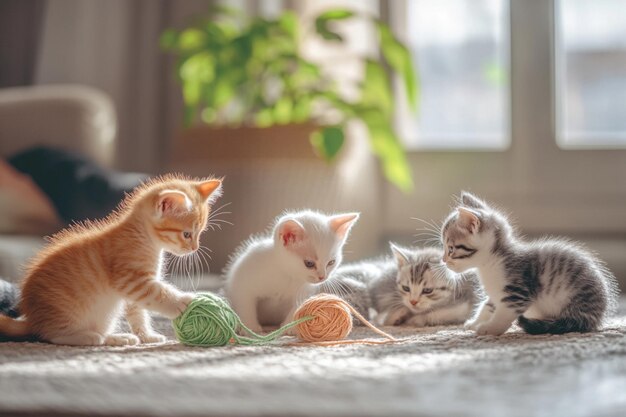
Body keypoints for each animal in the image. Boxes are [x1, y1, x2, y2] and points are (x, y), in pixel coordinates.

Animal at [0, 173, 222, 344]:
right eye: (187, 234)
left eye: (200, 232)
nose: (194, 248)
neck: (143, 237)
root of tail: (31, 320)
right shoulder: (132, 280)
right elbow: (157, 293)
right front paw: (181, 301)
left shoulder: (134, 290)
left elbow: (138, 313)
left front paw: (147, 336)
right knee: (50, 336)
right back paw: (87, 337)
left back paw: (117, 338)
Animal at [224, 210, 358, 334]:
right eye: (309, 263)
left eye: (331, 262)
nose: (322, 277)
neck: (288, 274)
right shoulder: (243, 276)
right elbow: (244, 302)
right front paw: (249, 327)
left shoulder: (305, 290)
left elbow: (298, 306)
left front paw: (290, 327)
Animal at [326, 242, 478, 326]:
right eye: (406, 288)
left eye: (427, 290)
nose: (413, 302)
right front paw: (397, 316)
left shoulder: (467, 298)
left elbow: (443, 313)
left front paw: (416, 319)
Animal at [442, 191, 616, 334]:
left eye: (451, 249)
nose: (443, 261)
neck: (491, 262)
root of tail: (598, 316)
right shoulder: (496, 293)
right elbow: (487, 306)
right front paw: (474, 322)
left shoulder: (516, 292)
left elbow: (503, 315)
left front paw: (489, 329)